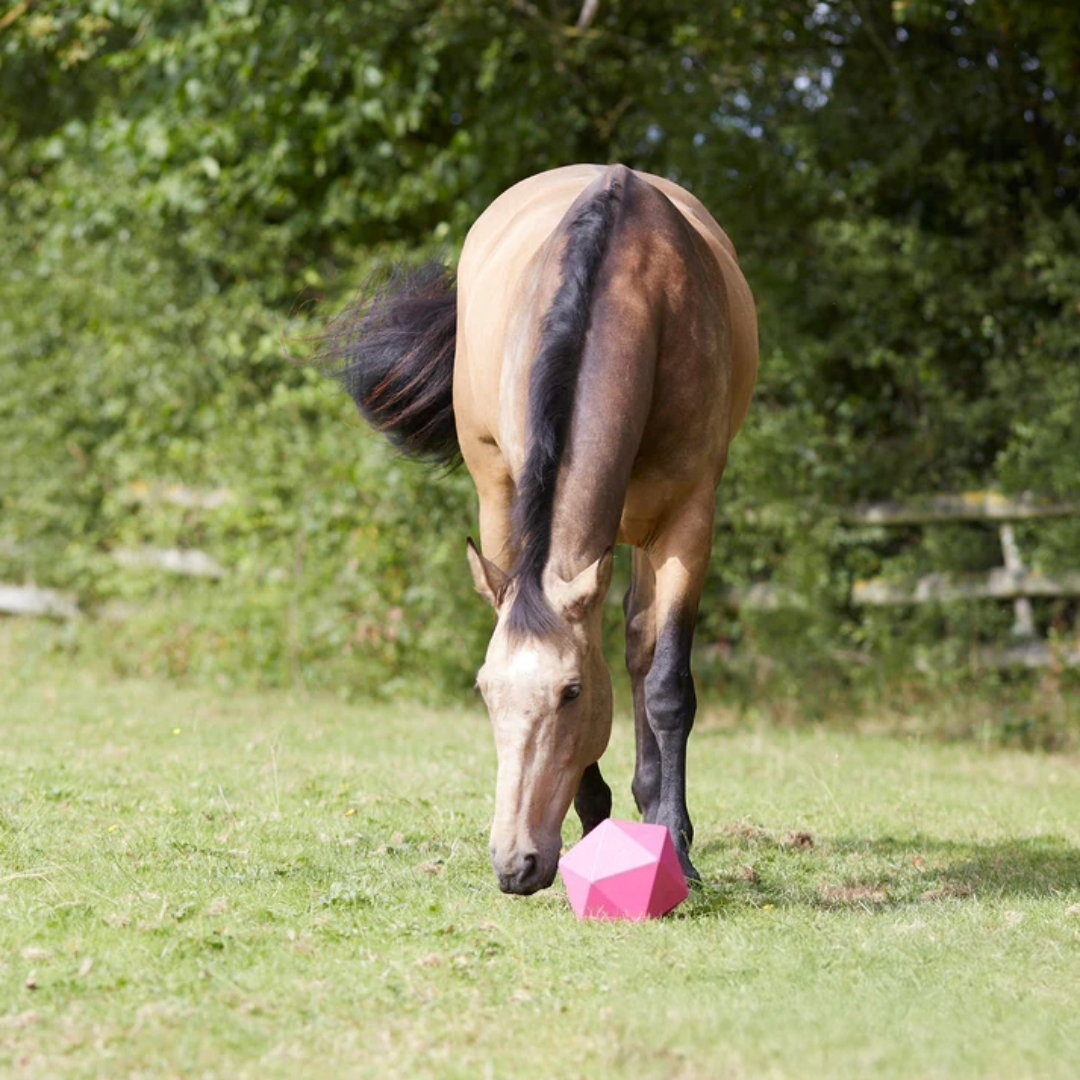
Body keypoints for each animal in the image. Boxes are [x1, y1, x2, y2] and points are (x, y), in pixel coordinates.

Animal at [320, 164, 757, 895]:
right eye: (484, 691)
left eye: (571, 692)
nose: (514, 864)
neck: (639, 291)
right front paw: (598, 819)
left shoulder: (689, 517)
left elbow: (666, 685)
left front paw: (674, 846)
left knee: (640, 644)